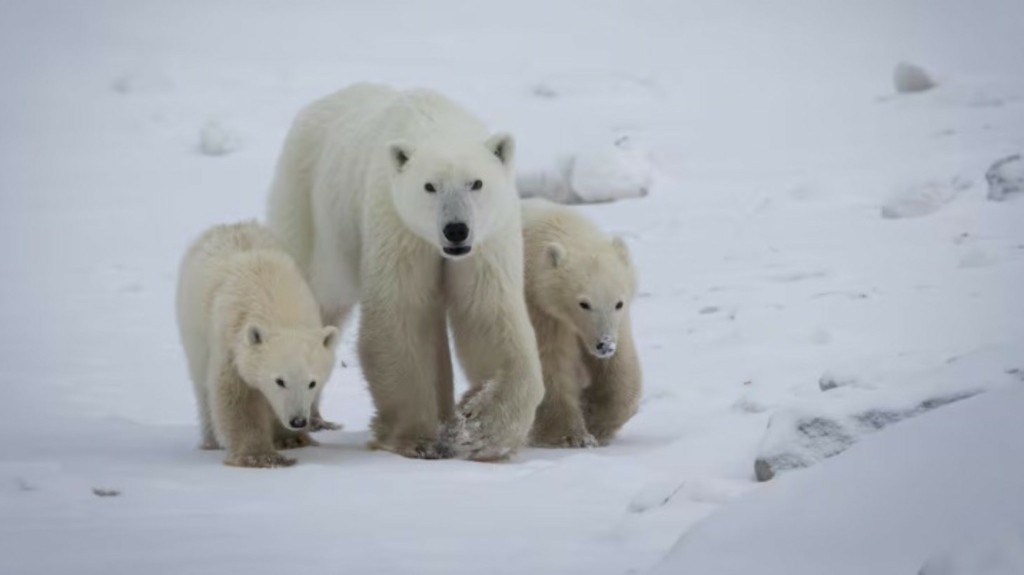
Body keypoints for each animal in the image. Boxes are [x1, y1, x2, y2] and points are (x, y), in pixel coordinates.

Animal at [176, 221, 340, 468]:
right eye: (280, 381)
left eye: (313, 383)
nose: (298, 421)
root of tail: (229, 225)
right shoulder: (232, 342)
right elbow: (238, 396)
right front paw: (260, 456)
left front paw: (291, 440)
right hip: (193, 328)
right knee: (202, 386)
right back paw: (211, 442)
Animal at [265, 84, 544, 461]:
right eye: (429, 186)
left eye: (476, 183)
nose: (456, 230)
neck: (438, 123)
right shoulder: (399, 226)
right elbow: (402, 316)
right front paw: (418, 440)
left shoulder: (487, 240)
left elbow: (487, 314)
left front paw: (481, 429)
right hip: (310, 211)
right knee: (315, 298)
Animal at [520, 199, 642, 447]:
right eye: (584, 304)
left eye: (618, 303)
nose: (604, 345)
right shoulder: (541, 309)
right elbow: (550, 364)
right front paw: (574, 436)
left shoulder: (618, 324)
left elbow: (620, 368)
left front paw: (598, 421)